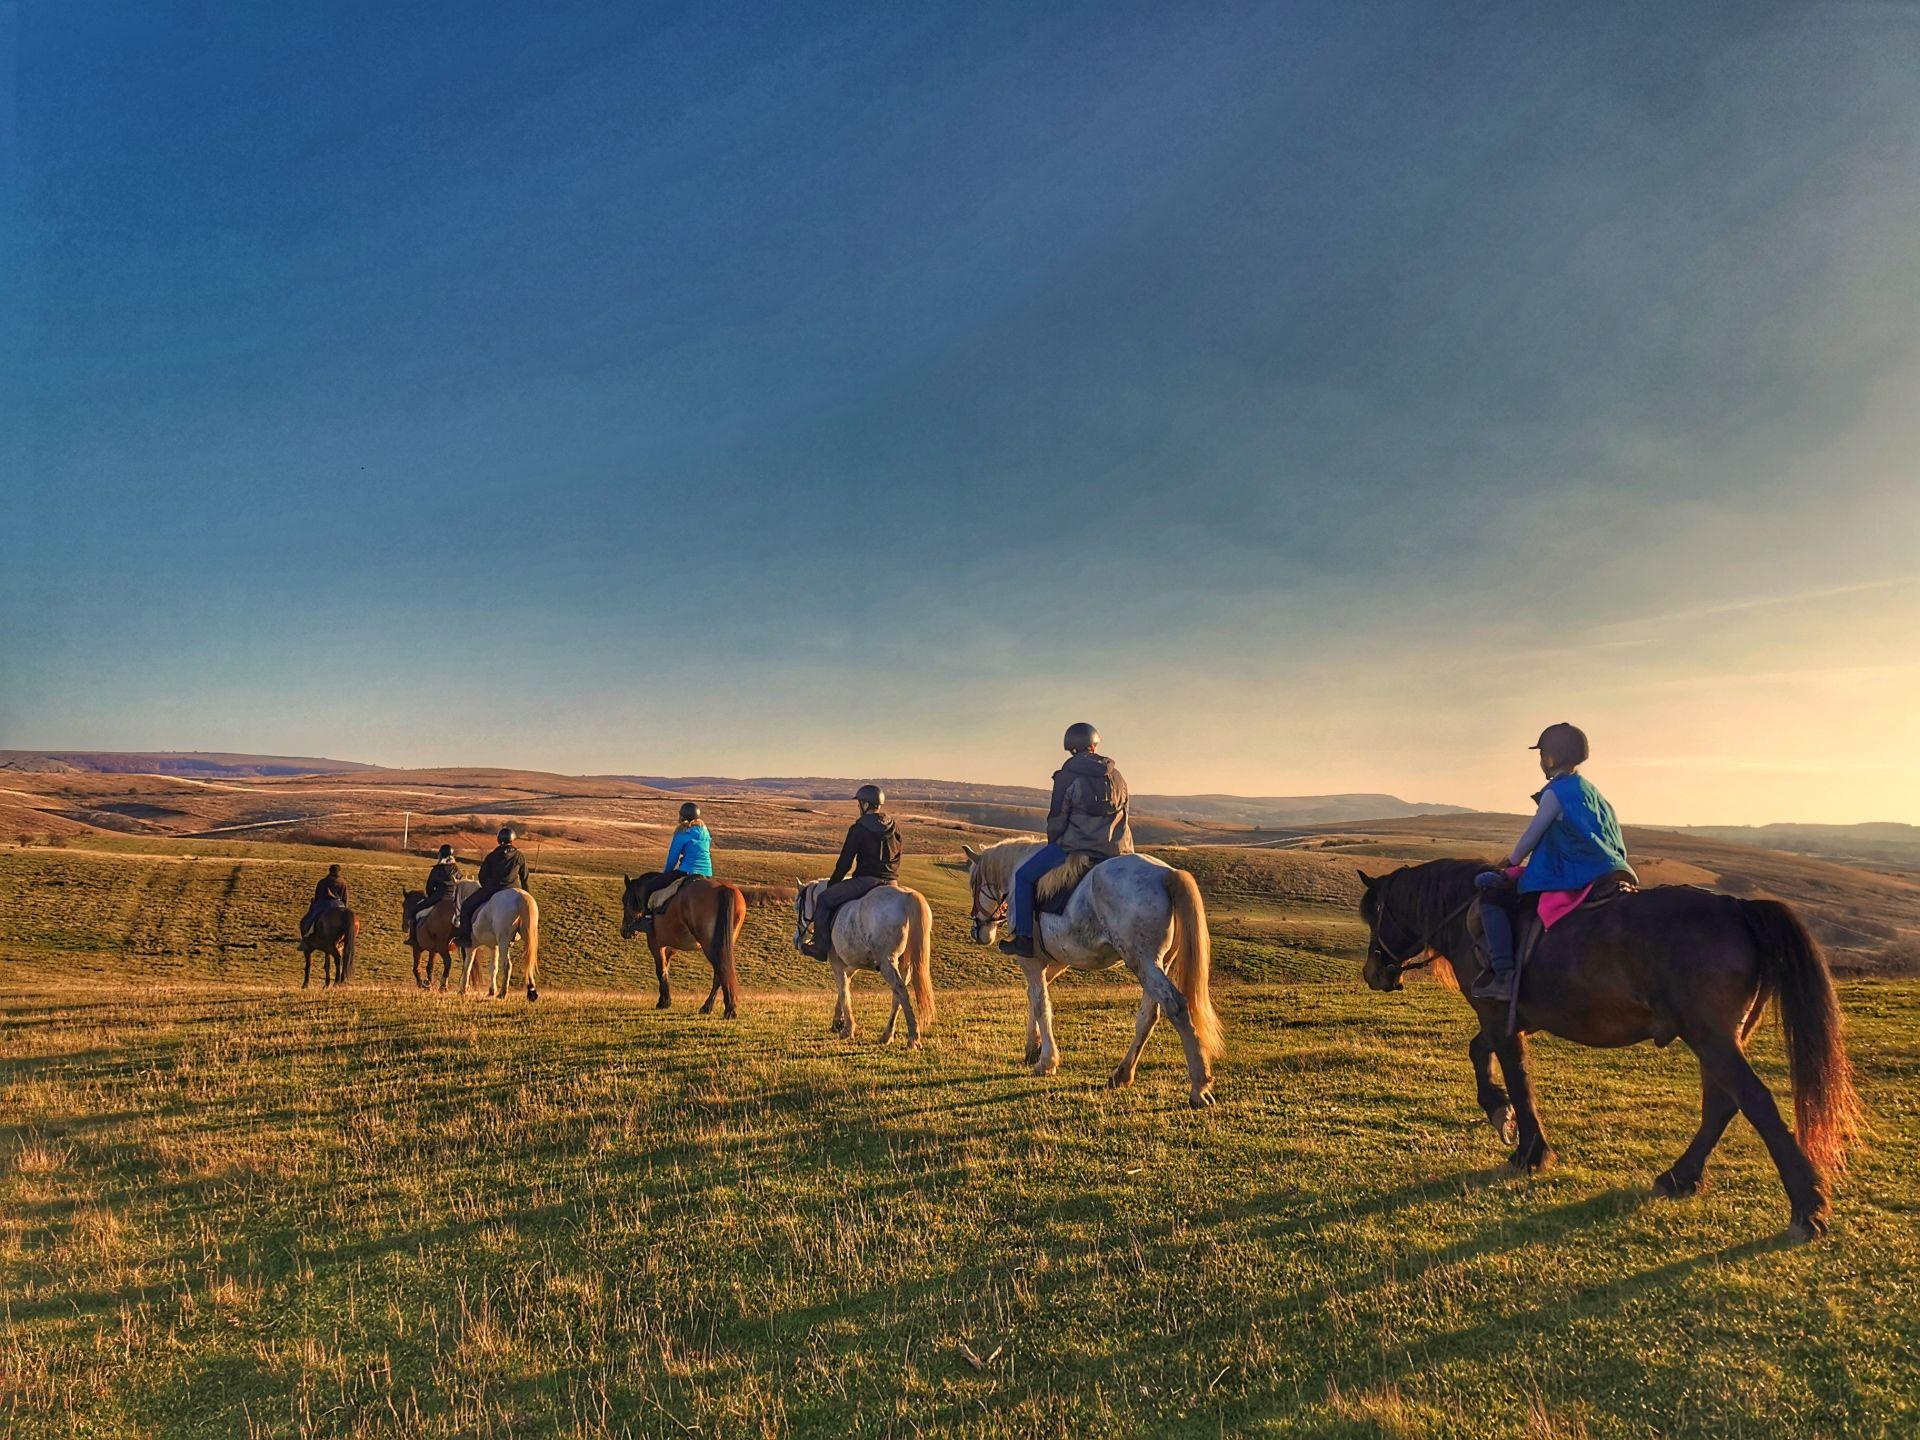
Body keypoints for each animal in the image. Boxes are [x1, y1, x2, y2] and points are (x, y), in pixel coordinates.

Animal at [625, 875, 752, 1021]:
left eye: (625, 901)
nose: (624, 931)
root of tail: (723, 888)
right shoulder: (671, 946)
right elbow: (666, 968)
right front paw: (665, 999)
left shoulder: (655, 942)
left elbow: (660, 970)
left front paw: (663, 1002)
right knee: (720, 973)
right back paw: (709, 1007)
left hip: (711, 945)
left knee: (722, 969)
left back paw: (727, 1009)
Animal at [791, 879, 933, 1052]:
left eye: (797, 907)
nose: (796, 940)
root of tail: (908, 896)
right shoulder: (852, 966)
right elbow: (844, 989)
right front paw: (838, 1022)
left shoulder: (837, 964)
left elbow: (843, 992)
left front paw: (848, 1029)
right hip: (903, 965)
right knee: (897, 996)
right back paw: (887, 1035)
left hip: (887, 962)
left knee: (901, 991)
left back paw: (913, 1038)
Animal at [967, 840, 1221, 1113]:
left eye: (973, 884)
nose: (978, 932)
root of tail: (1166, 874)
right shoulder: (1056, 962)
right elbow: (1035, 997)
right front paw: (1033, 1048)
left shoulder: (1031, 961)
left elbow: (1041, 1003)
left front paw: (1046, 1061)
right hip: (1155, 964)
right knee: (1149, 1016)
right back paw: (1122, 1074)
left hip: (1143, 961)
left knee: (1177, 1006)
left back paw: (1199, 1087)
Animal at [1351, 856, 1858, 1244]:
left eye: (1375, 916)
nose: (1373, 973)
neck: (1464, 916)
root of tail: (1738, 908)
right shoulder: (1513, 1021)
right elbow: (1481, 1054)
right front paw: (1501, 1114)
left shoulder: (1498, 1016)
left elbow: (1515, 1077)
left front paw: (1527, 1148)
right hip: (1718, 1036)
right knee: (1723, 1104)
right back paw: (1680, 1177)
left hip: (1710, 1035)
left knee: (1753, 1100)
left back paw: (1807, 1207)